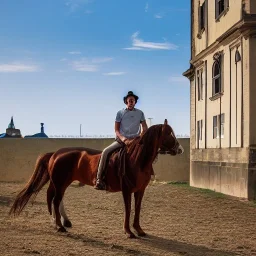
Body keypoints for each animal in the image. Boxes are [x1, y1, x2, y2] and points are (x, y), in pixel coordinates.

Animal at [9, 119, 183, 239]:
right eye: (168, 133)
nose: (179, 149)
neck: (137, 160)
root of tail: (56, 153)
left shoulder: (140, 190)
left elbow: (137, 209)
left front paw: (139, 230)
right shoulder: (126, 190)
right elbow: (128, 209)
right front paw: (128, 232)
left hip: (62, 182)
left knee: (56, 199)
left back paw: (62, 222)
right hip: (60, 182)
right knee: (55, 200)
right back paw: (59, 226)